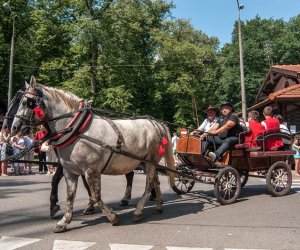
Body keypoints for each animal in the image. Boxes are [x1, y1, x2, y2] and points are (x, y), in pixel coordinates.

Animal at [11, 77, 176, 233]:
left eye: (27, 102)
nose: (13, 128)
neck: (77, 130)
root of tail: (155, 123)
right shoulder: (70, 171)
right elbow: (70, 196)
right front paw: (64, 221)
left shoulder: (91, 170)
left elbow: (96, 195)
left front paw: (112, 216)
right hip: (146, 162)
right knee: (155, 181)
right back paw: (158, 206)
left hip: (150, 161)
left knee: (149, 183)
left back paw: (138, 210)